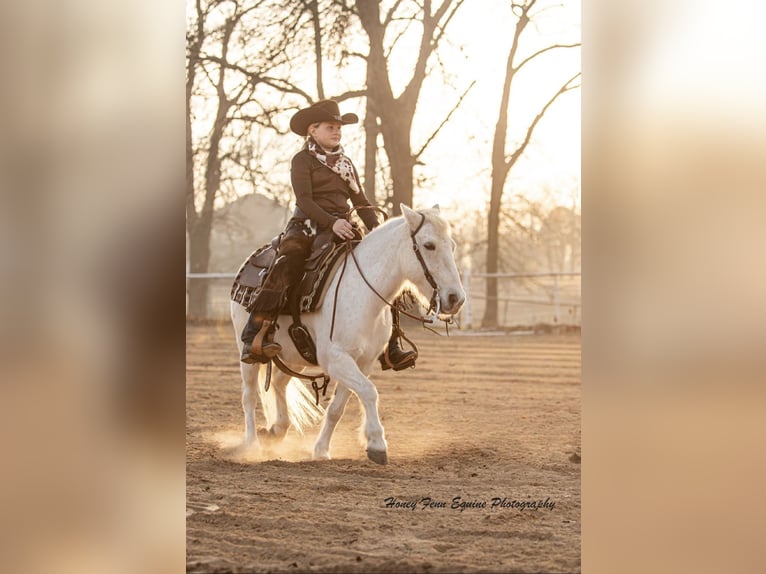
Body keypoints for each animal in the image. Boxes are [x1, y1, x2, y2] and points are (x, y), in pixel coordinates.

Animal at [229, 204, 465, 464]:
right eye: (429, 245)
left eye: (452, 245)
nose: (456, 298)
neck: (364, 293)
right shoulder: (336, 359)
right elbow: (369, 392)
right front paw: (377, 443)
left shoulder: (362, 362)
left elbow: (338, 407)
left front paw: (322, 450)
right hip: (248, 355)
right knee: (249, 395)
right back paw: (252, 445)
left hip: (293, 355)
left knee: (279, 383)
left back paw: (276, 430)